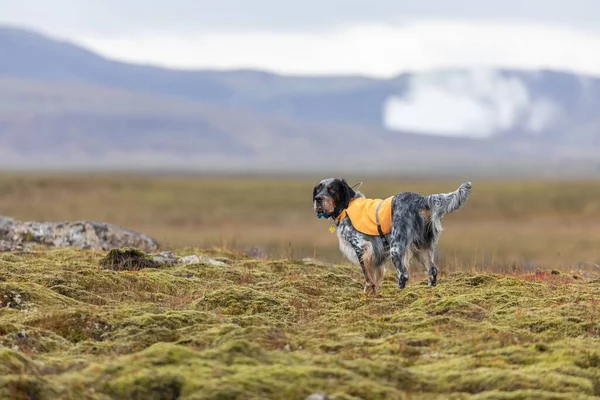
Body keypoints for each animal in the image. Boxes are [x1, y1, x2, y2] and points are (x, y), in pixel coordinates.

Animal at [312, 178, 472, 294]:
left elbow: (368, 275)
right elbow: (376, 275)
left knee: (404, 274)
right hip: (422, 247)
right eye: (318, 189)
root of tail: (421, 200)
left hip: (397, 247)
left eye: (332, 189)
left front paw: (367, 291)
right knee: (432, 270)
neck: (346, 207)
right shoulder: (377, 252)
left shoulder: (362, 247)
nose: (318, 199)